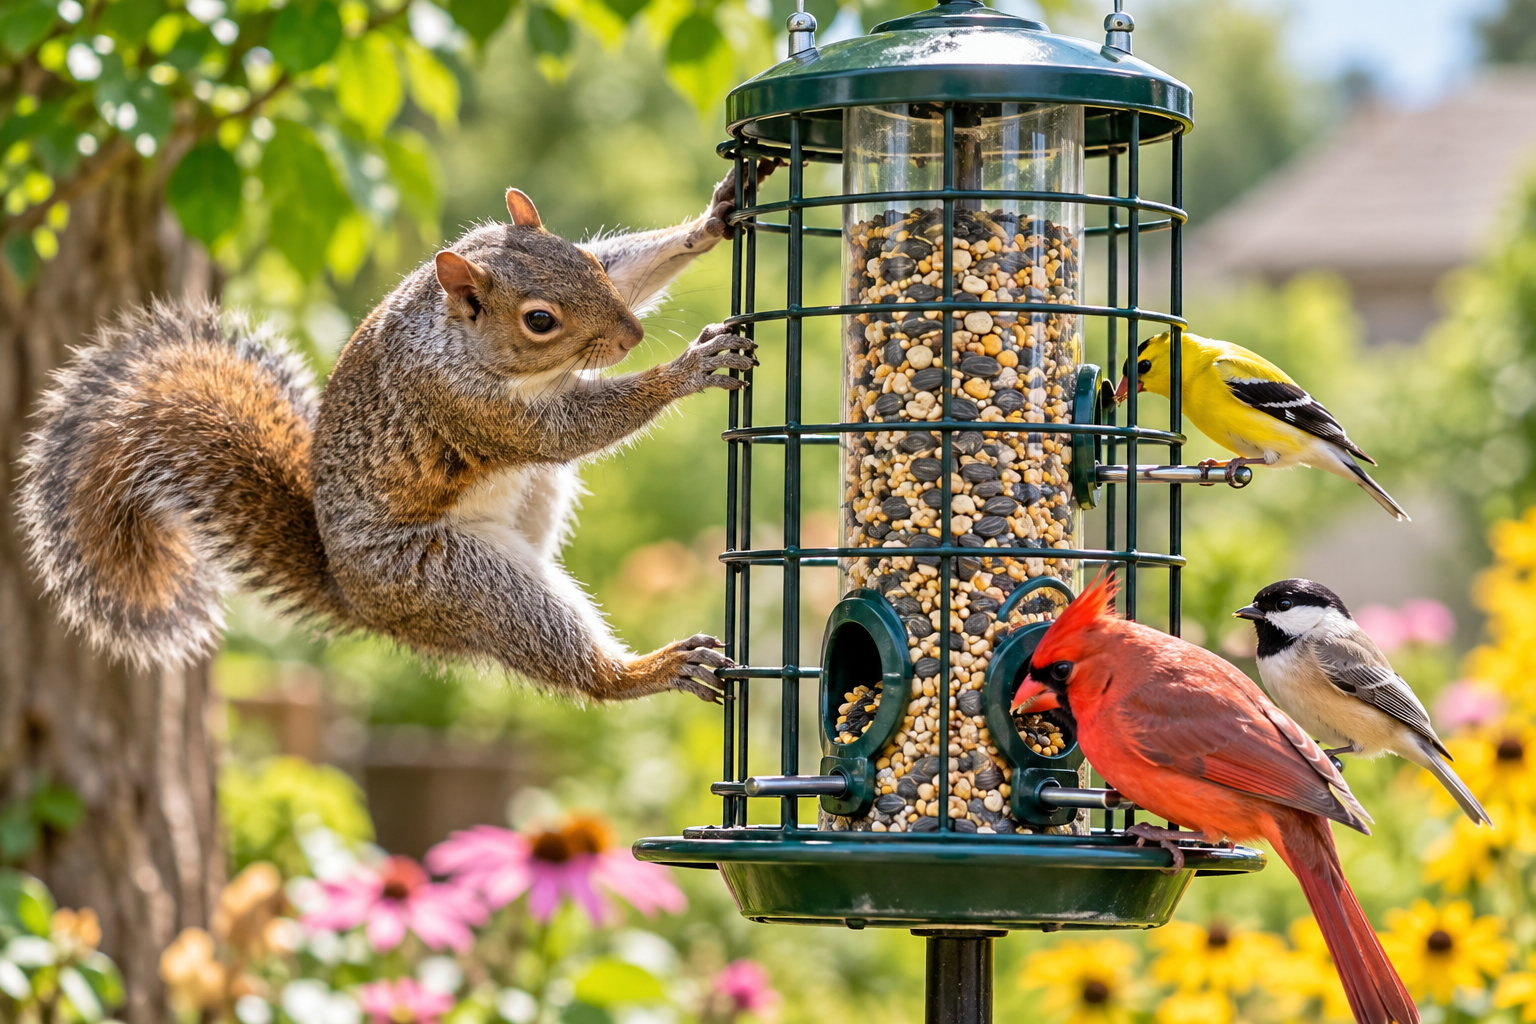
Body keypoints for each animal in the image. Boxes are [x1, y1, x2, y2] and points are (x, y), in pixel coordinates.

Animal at [18, 164, 775, 703]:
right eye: (539, 320)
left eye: (585, 261)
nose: (632, 335)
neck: (457, 337)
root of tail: (361, 602)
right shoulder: (466, 406)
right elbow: (568, 430)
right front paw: (688, 368)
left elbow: (634, 267)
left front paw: (713, 217)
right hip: (458, 579)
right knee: (572, 662)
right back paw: (648, 669)